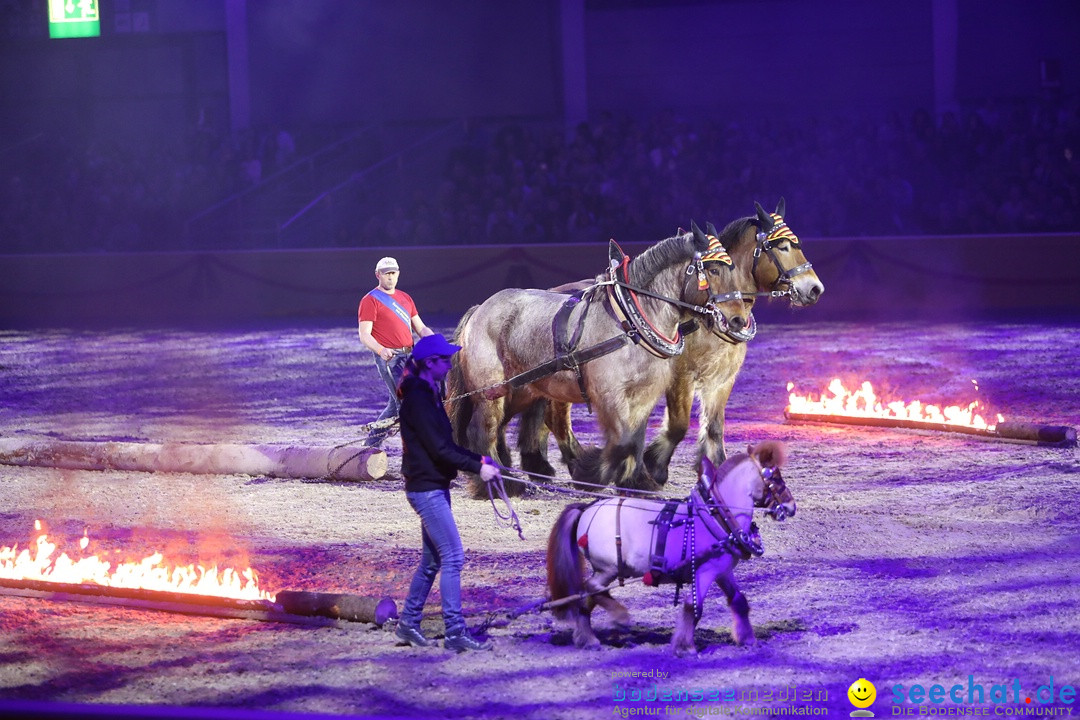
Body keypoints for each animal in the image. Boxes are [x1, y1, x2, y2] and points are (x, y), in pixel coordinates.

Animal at [442, 223, 756, 496]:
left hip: (520, 390)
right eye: (713, 269)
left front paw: (635, 482)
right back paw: (498, 483)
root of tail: (479, 309)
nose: (737, 320)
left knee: (499, 428)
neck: (630, 323)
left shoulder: (644, 396)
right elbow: (621, 440)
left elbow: (634, 440)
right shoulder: (609, 395)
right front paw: (591, 473)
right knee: (483, 431)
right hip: (492, 392)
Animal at [548, 442, 794, 656]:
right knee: (591, 588)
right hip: (609, 568)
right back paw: (619, 618)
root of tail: (587, 509)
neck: (716, 515)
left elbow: (739, 601)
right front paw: (685, 647)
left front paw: (747, 639)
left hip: (605, 571)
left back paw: (587, 639)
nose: (791, 506)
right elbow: (692, 607)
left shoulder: (722, 571)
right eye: (775, 476)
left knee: (588, 597)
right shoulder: (704, 571)